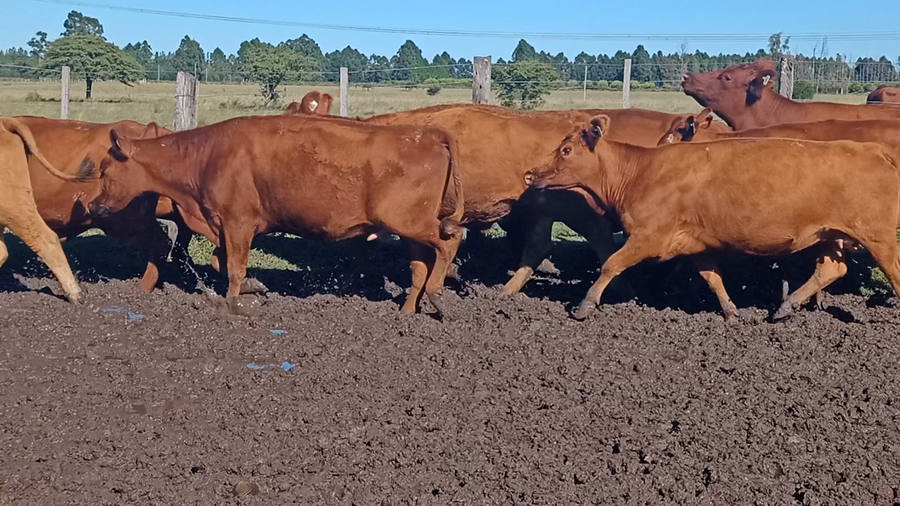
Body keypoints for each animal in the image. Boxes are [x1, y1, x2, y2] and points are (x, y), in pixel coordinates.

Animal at [88, 114, 465, 315]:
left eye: (105, 169)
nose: (93, 205)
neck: (207, 157)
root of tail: (426, 133)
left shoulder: (238, 223)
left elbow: (234, 269)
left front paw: (234, 303)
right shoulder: (224, 225)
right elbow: (219, 262)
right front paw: (256, 287)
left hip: (409, 222)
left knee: (451, 241)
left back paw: (437, 294)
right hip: (408, 228)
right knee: (420, 265)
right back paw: (407, 311)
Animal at [525, 115, 900, 322]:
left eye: (566, 150)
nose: (531, 174)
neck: (641, 172)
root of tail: (873, 150)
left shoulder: (648, 237)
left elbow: (610, 265)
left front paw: (584, 306)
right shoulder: (696, 244)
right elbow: (713, 279)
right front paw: (731, 313)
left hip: (878, 238)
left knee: (893, 273)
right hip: (831, 236)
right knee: (831, 269)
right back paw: (785, 306)